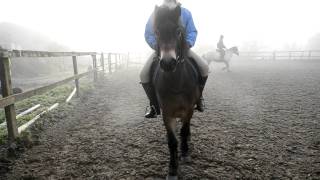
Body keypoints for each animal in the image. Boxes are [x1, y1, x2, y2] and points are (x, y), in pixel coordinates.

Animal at [152, 4, 201, 179]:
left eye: (179, 31)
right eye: (157, 32)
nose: (168, 63)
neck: (176, 82)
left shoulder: (188, 110)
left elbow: (184, 131)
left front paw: (185, 153)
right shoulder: (167, 114)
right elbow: (172, 141)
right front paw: (172, 169)